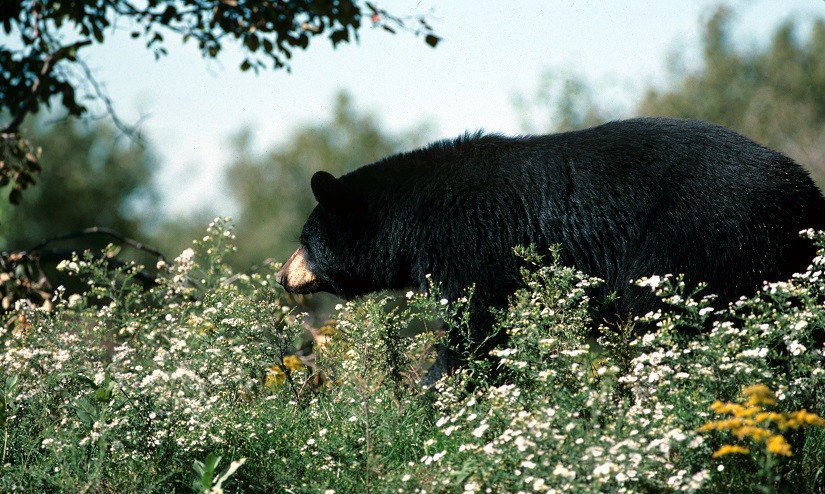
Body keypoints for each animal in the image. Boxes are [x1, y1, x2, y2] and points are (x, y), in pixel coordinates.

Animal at [276, 117, 825, 384]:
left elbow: (477, 328)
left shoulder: (473, 246)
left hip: (699, 236)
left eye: (304, 239)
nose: (282, 276)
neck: (413, 218)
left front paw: (431, 394)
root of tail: (804, 192)